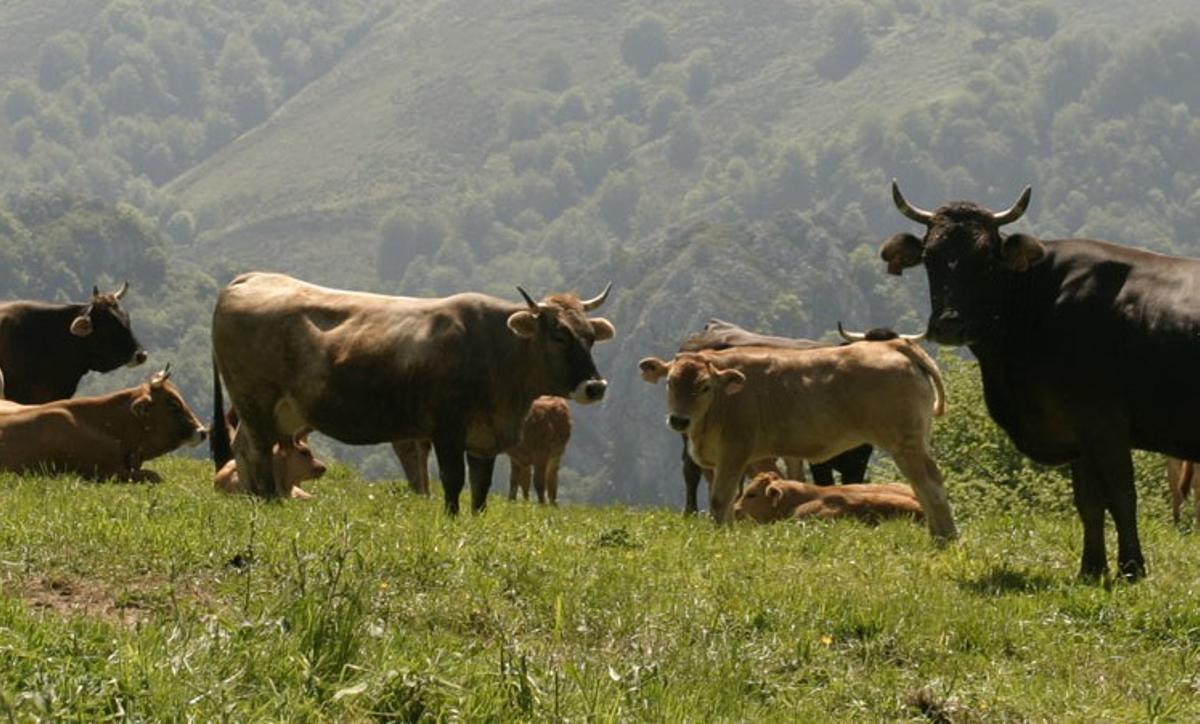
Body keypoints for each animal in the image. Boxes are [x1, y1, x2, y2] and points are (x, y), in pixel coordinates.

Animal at [211, 272, 613, 513]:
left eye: (590, 337)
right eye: (559, 336)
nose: (595, 386)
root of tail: (252, 278)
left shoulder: (484, 439)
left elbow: (480, 490)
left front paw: (476, 520)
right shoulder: (447, 430)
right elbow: (453, 482)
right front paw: (451, 522)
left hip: (276, 410)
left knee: (243, 447)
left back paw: (253, 497)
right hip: (255, 400)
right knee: (258, 450)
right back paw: (266, 500)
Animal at [879, 179, 1200, 579]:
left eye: (987, 259)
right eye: (931, 257)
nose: (950, 324)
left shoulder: (1105, 423)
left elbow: (1122, 496)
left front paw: (1131, 568)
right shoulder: (1077, 430)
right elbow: (1089, 502)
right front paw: (1091, 569)